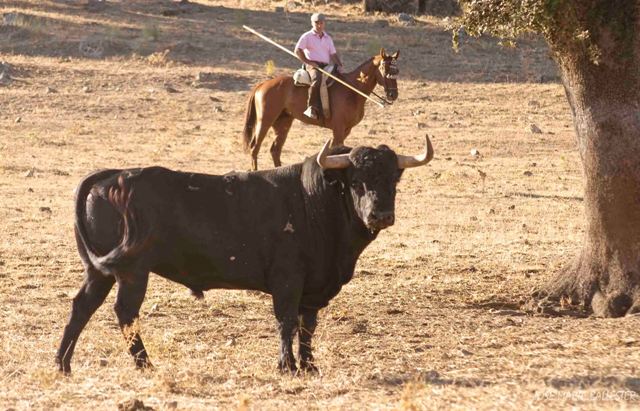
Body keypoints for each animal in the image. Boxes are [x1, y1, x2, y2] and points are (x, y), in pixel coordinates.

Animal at [56, 137, 436, 374]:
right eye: (356, 181)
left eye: (393, 180)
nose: (380, 215)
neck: (315, 200)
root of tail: (113, 175)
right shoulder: (288, 280)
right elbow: (287, 321)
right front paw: (287, 366)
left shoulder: (314, 287)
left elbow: (307, 326)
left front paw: (309, 366)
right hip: (132, 272)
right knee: (125, 313)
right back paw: (145, 364)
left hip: (100, 272)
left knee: (82, 307)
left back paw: (63, 364)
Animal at [241, 48, 398, 171]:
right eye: (385, 69)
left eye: (397, 70)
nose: (393, 95)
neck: (352, 90)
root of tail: (263, 84)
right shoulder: (338, 129)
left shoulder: (346, 130)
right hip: (264, 121)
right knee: (255, 148)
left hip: (283, 123)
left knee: (275, 150)